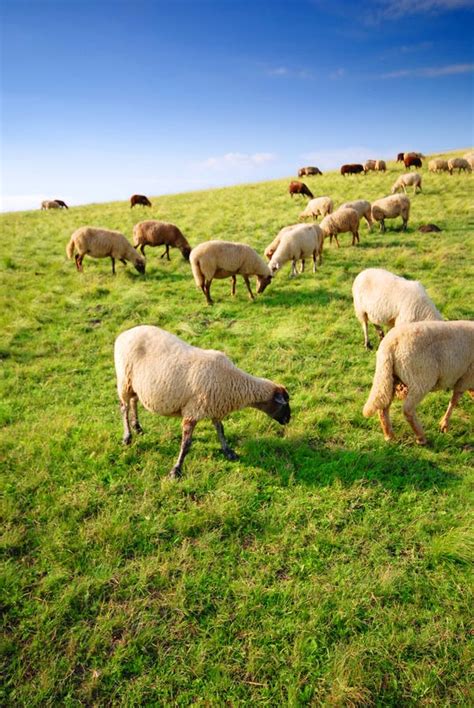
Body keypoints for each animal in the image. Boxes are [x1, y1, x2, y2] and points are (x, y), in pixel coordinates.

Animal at [115, 324, 292, 478]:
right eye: (284, 403)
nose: (288, 419)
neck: (233, 382)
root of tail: (123, 334)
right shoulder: (192, 412)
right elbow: (186, 444)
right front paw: (176, 470)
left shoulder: (215, 408)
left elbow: (221, 431)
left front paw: (228, 451)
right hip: (124, 380)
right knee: (124, 407)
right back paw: (127, 436)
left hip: (135, 384)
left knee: (134, 401)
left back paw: (137, 427)